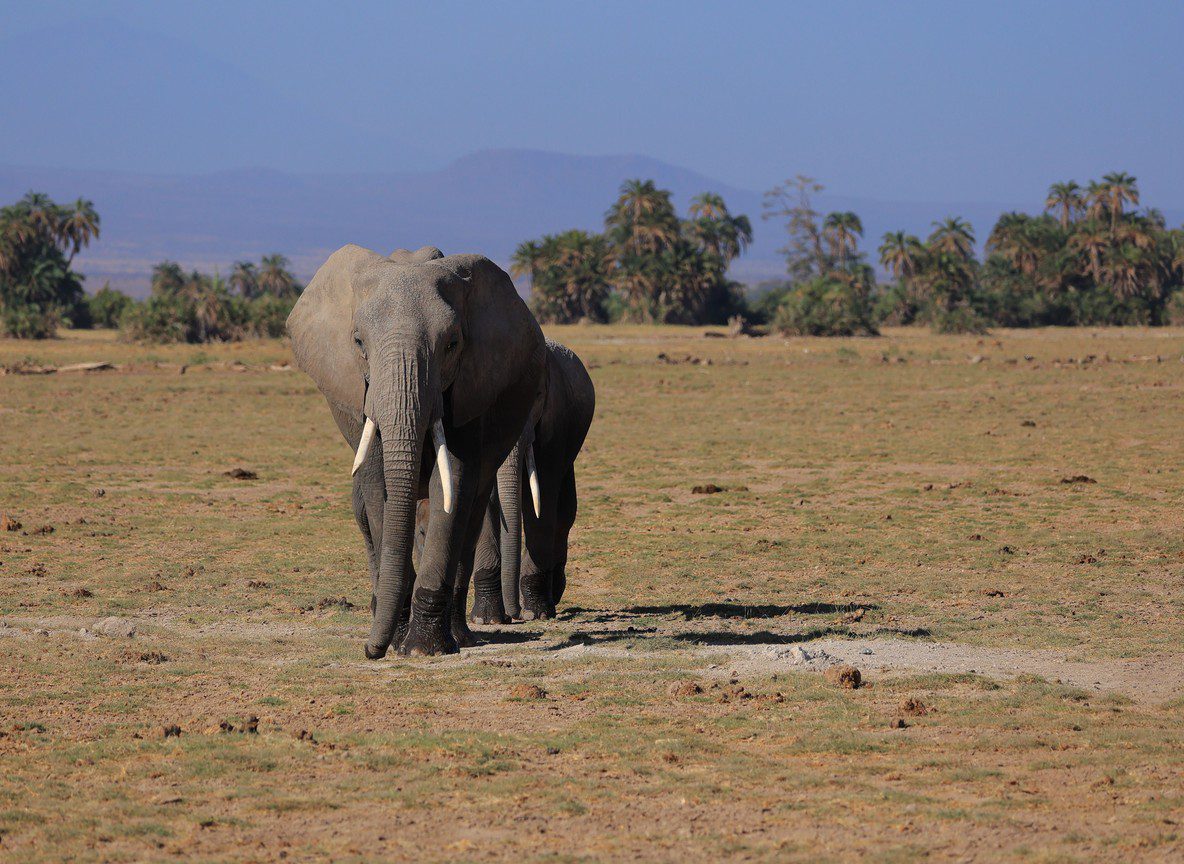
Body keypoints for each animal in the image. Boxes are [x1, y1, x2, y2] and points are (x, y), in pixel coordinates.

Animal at [287, 244, 545, 657]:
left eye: (452, 344)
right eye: (358, 343)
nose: (369, 650)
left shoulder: (469, 387)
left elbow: (452, 481)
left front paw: (422, 648)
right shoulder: (361, 397)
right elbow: (377, 488)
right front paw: (395, 640)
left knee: (470, 514)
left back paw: (460, 637)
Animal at [468, 339, 596, 624]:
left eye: (536, 396)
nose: (512, 614)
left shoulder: (555, 420)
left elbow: (542, 497)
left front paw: (536, 613)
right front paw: (486, 618)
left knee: (564, 514)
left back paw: (552, 597)